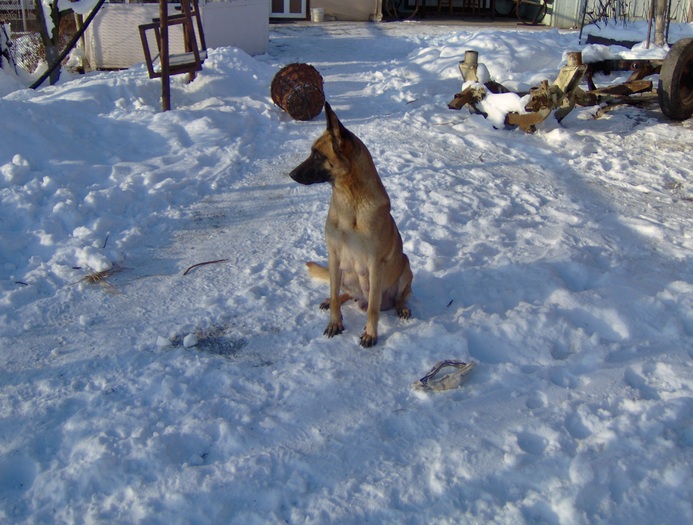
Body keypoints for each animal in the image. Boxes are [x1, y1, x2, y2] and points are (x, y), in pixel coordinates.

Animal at [288, 102, 410, 348]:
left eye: (317, 155)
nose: (291, 174)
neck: (350, 203)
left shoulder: (375, 265)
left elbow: (373, 309)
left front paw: (371, 334)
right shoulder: (334, 256)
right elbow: (336, 297)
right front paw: (334, 322)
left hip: (406, 265)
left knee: (399, 297)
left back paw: (401, 307)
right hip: (345, 274)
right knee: (342, 292)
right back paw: (332, 299)